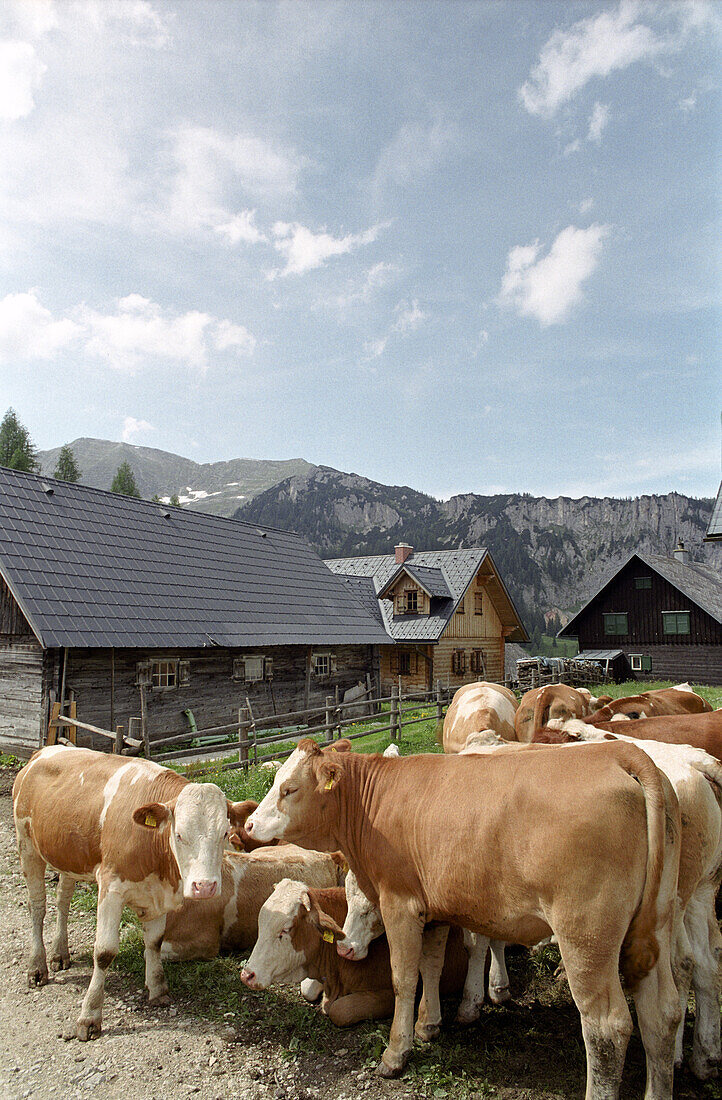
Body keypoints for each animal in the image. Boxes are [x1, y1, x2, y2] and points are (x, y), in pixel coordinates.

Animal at [11, 739, 250, 1038]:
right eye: (179, 834)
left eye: (224, 834)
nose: (204, 887)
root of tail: (44, 751)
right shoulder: (111, 888)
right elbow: (104, 952)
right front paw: (89, 1016)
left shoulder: (158, 894)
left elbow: (155, 942)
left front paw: (157, 989)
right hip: (27, 847)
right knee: (37, 908)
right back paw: (37, 968)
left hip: (68, 856)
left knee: (63, 901)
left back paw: (60, 953)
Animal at [239, 880, 471, 1025]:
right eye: (261, 923)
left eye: (286, 929)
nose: (247, 974)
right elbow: (308, 989)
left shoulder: (386, 992)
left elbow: (340, 1011)